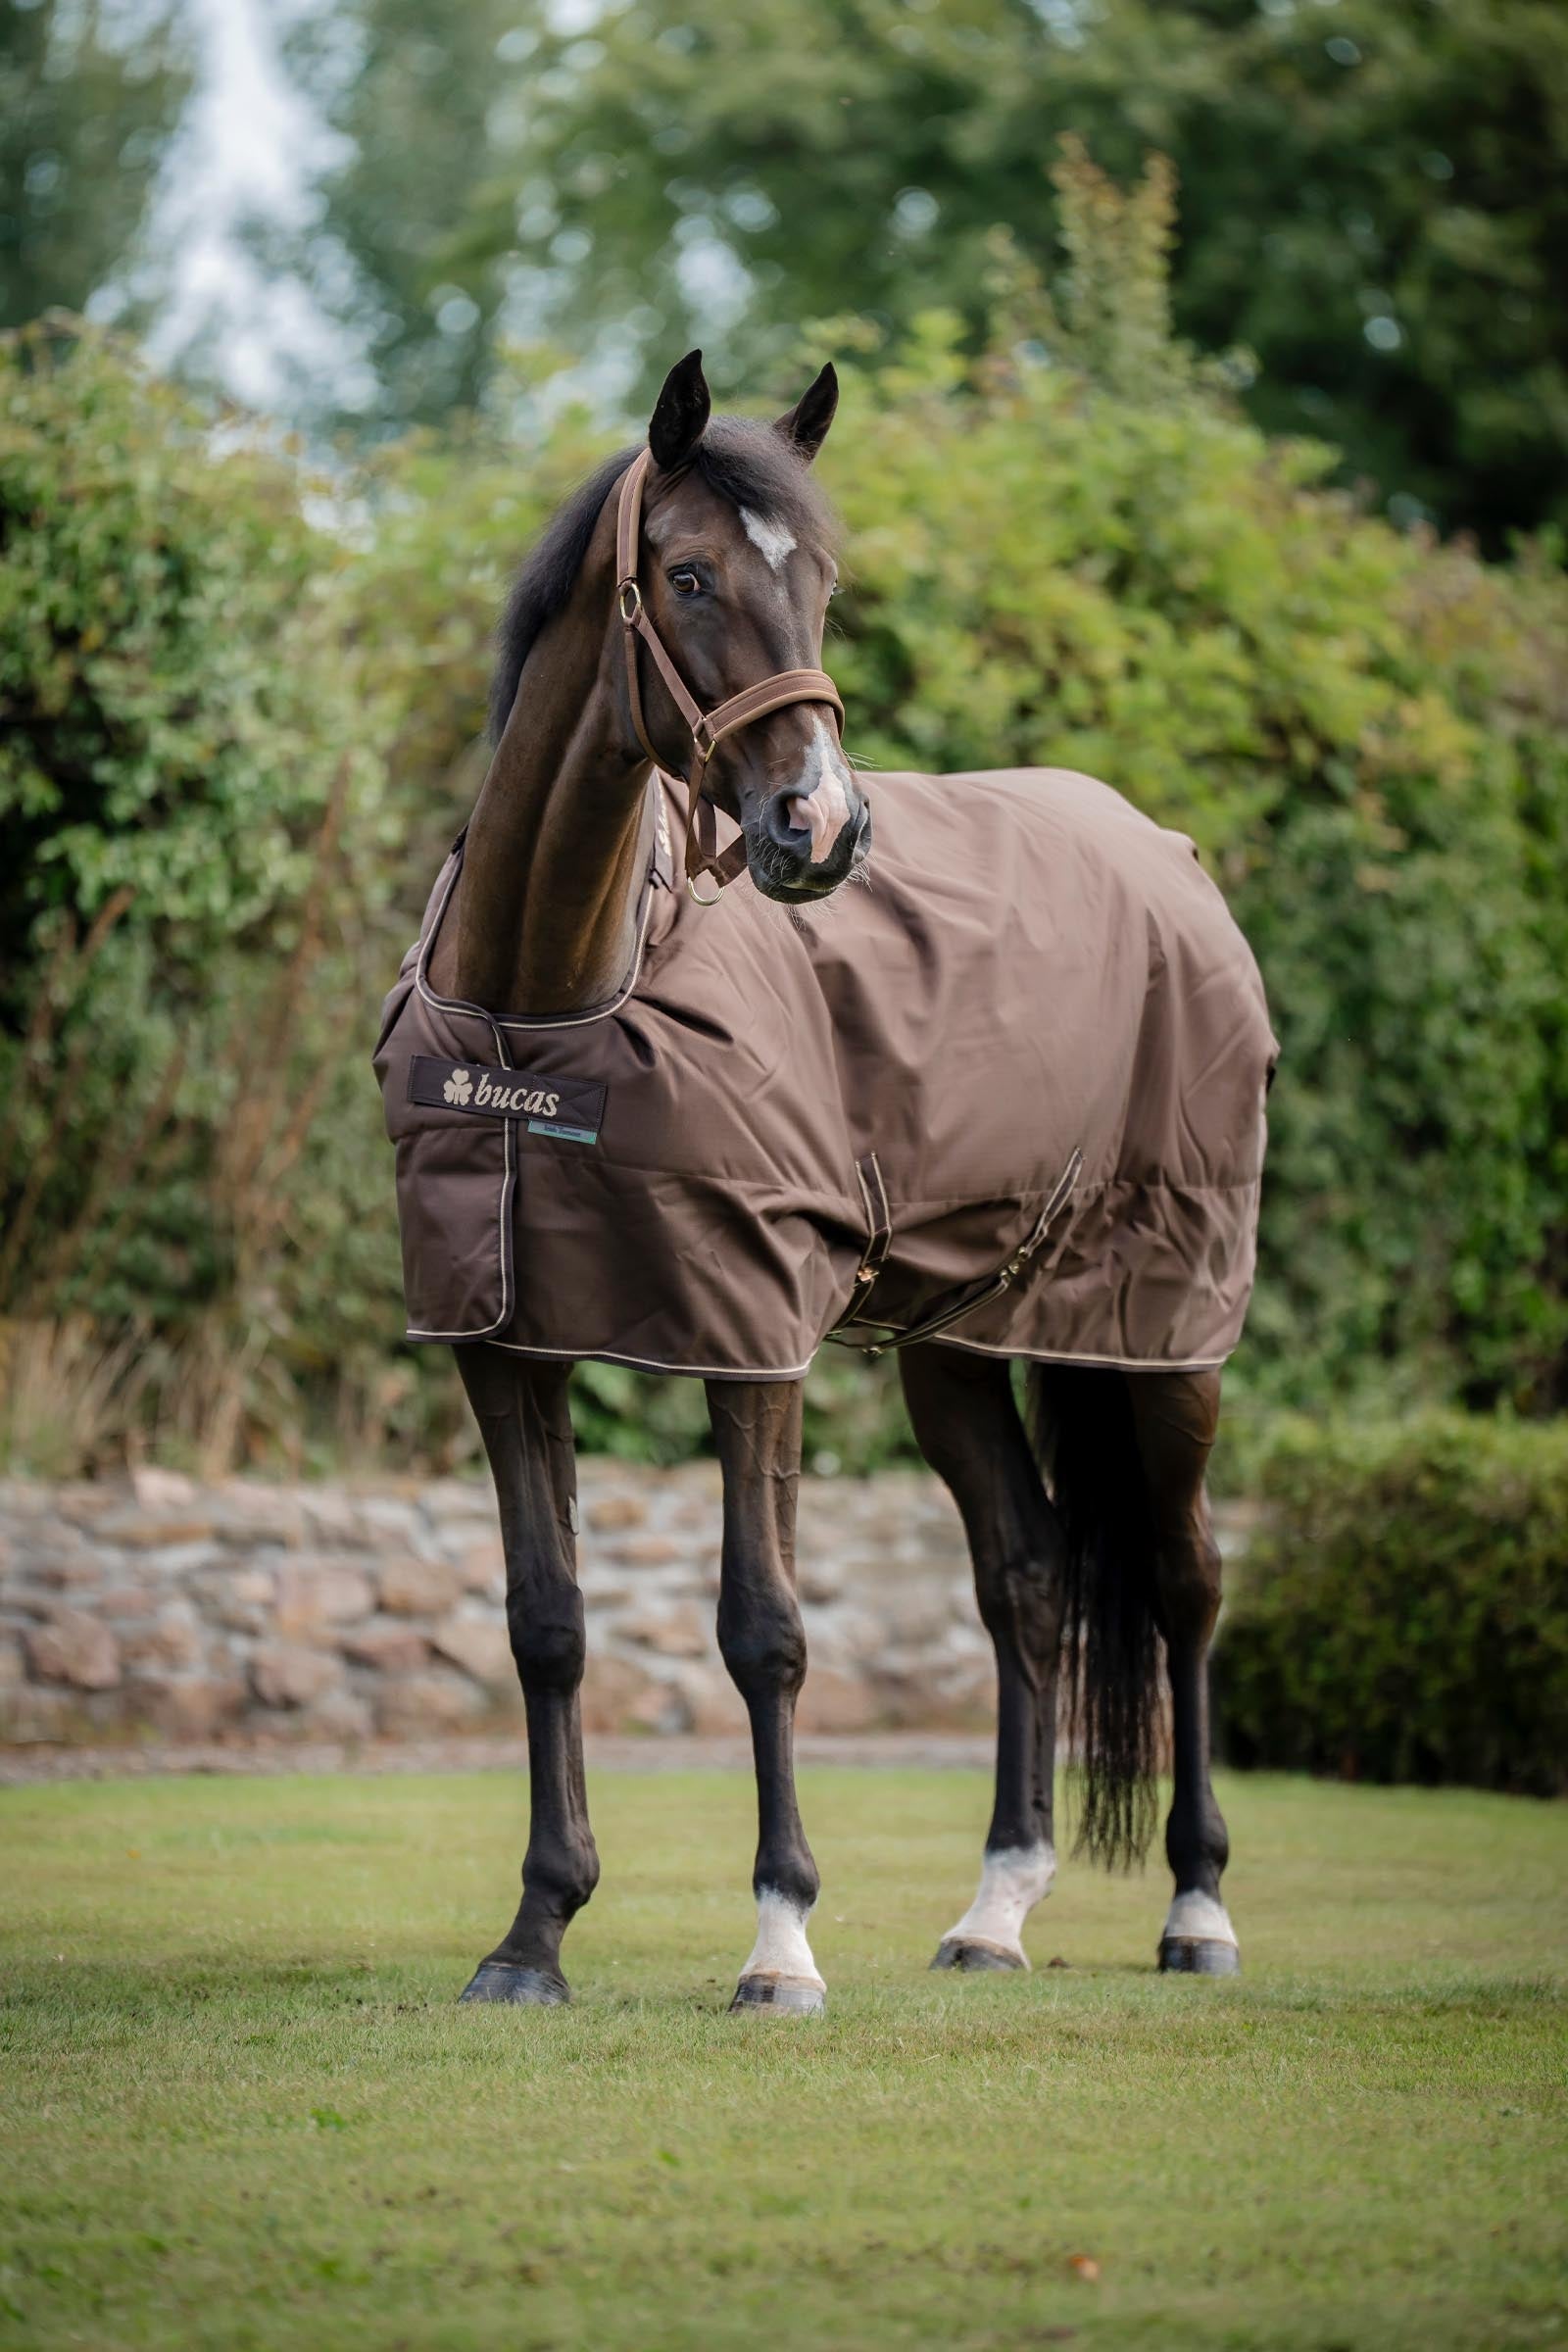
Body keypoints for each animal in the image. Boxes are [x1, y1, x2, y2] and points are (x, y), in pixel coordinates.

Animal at [374, 349, 1276, 2012]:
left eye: (824, 585)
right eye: (687, 575)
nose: (822, 826)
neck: (549, 999)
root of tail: (1168, 854)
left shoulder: (752, 1337)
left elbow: (765, 1628)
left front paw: (779, 1939)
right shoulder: (502, 1342)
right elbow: (547, 1623)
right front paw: (535, 1934)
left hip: (1168, 1335)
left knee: (1187, 1578)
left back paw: (1197, 1910)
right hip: (962, 1340)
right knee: (1026, 1578)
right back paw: (996, 1910)